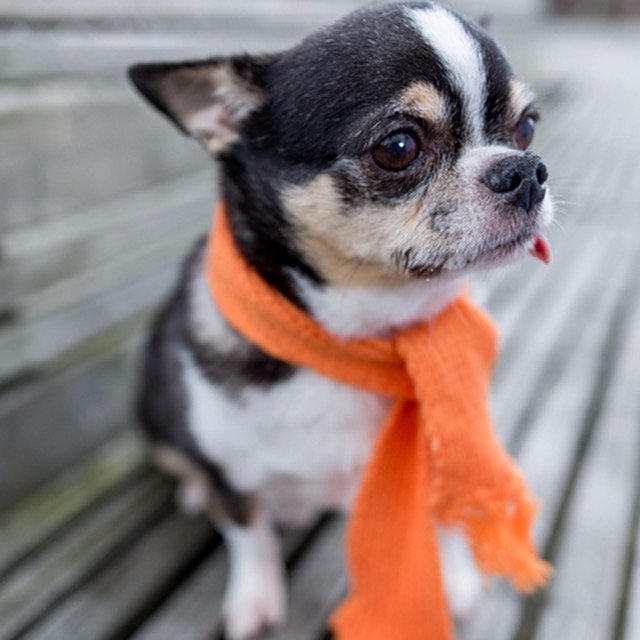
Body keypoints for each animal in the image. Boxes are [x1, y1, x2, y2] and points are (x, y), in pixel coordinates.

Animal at [127, 2, 552, 636]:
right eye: (398, 146)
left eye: (526, 127)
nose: (526, 170)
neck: (363, 340)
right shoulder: (233, 482)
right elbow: (249, 534)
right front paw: (255, 599)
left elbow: (448, 514)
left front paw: (454, 579)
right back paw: (194, 492)